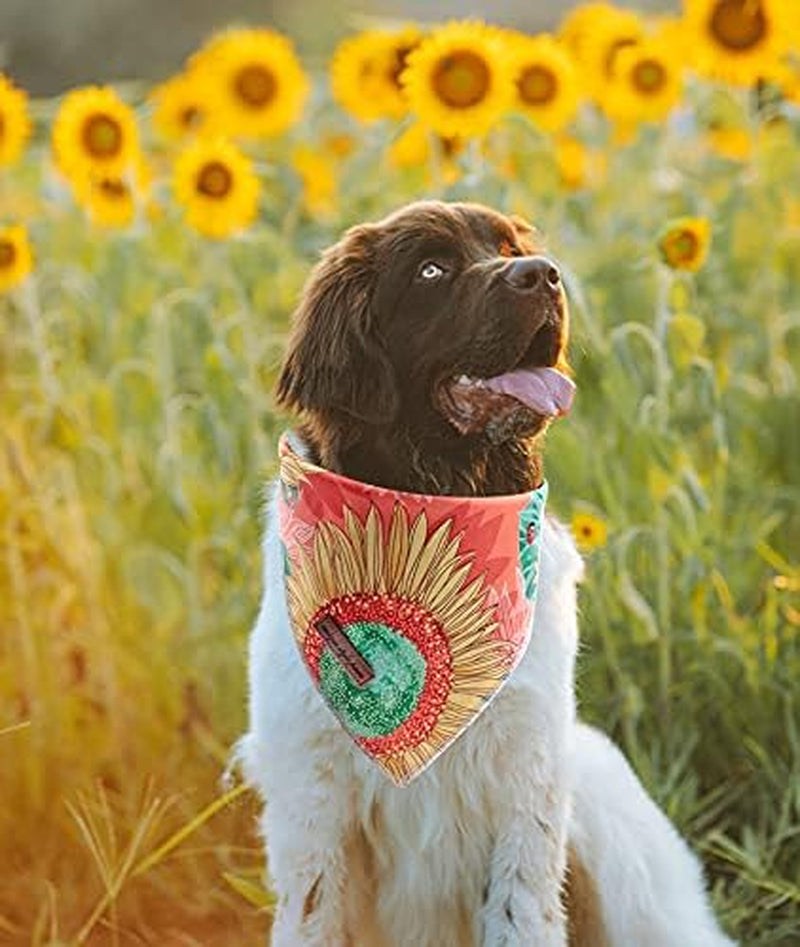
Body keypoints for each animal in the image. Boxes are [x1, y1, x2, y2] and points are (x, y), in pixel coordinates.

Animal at [239, 202, 736, 947]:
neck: (433, 510)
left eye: (506, 248)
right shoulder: (311, 795)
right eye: (431, 269)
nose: (545, 274)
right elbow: (313, 913)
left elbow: (520, 911)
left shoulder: (527, 777)